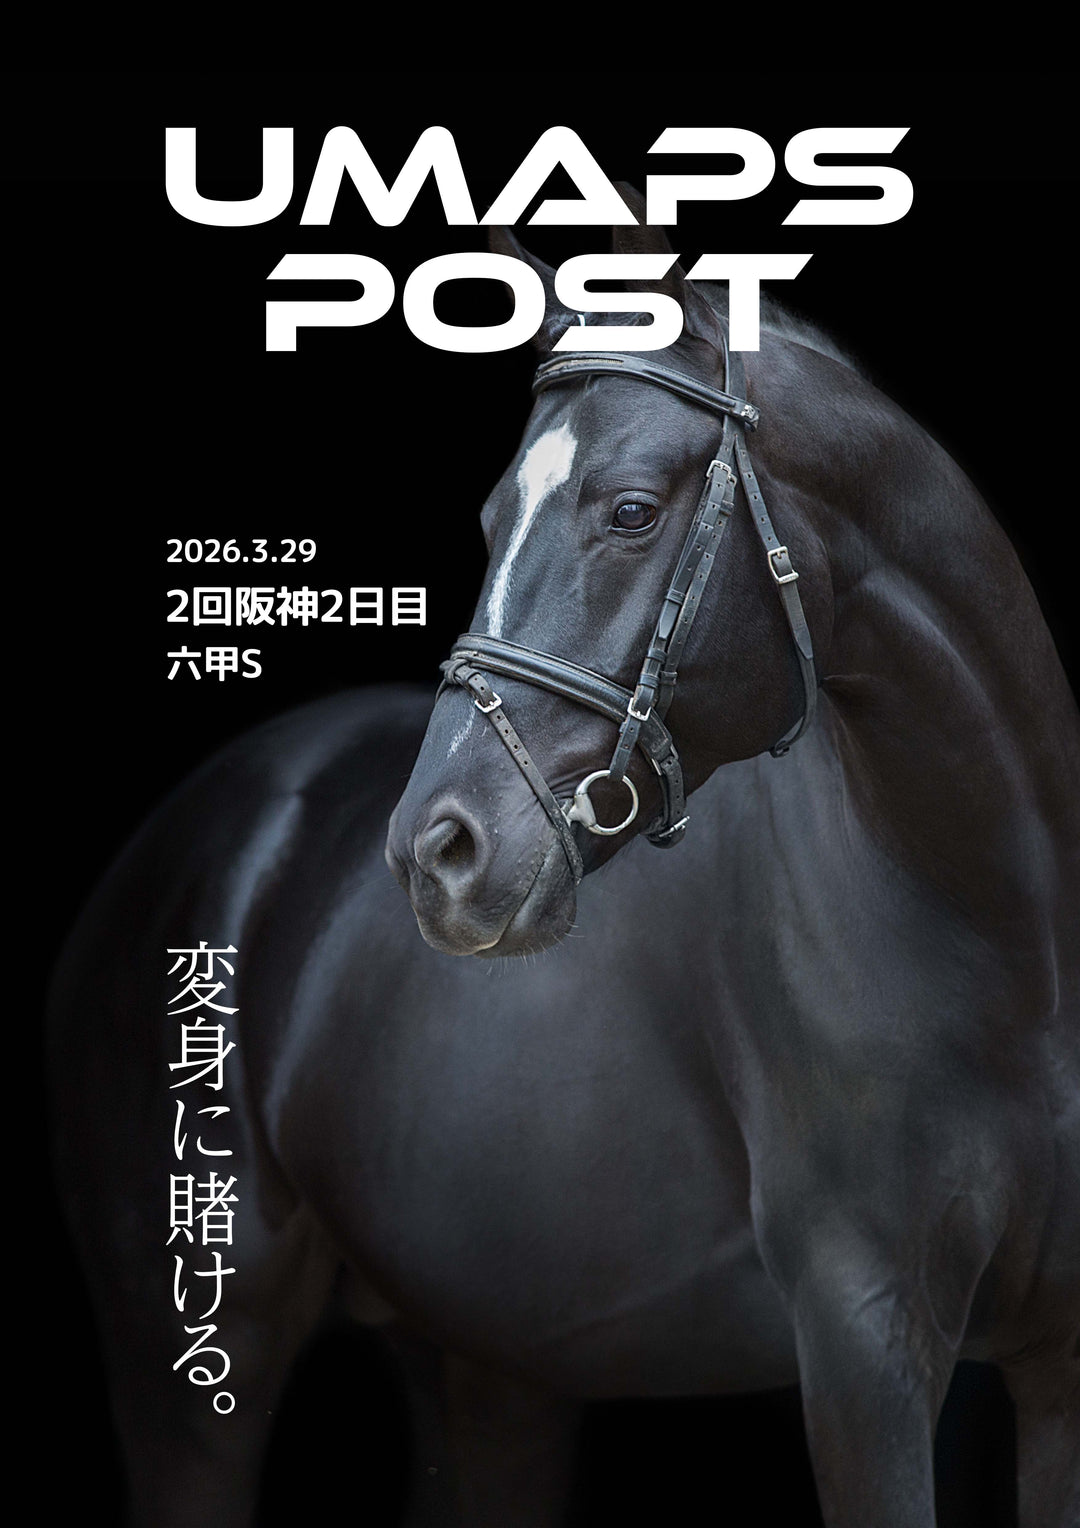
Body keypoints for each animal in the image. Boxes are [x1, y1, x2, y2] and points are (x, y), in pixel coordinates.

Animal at [50, 212, 1079, 1527]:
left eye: (631, 510)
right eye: (493, 519)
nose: (435, 852)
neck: (1008, 937)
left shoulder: (1051, 1363)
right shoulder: (866, 1343)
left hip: (488, 1367)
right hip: (191, 1360)